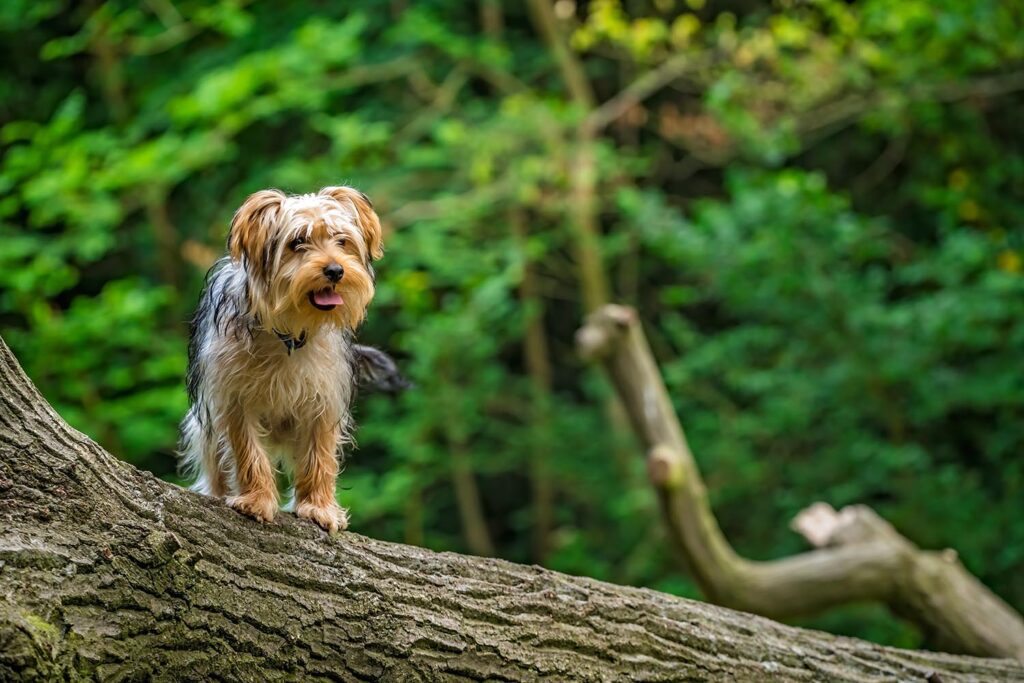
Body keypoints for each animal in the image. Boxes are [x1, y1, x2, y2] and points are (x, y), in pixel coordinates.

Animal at [178, 185, 385, 532]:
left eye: (342, 241)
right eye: (297, 242)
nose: (335, 270)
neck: (289, 332)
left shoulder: (324, 399)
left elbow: (319, 457)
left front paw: (318, 507)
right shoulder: (233, 397)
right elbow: (247, 451)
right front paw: (257, 499)